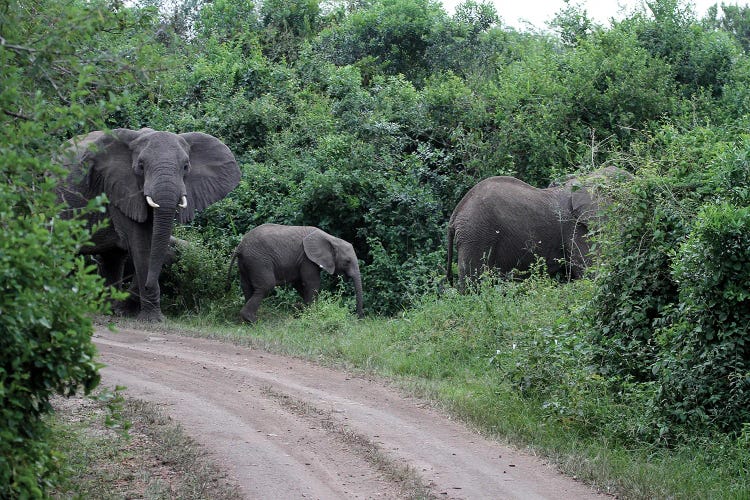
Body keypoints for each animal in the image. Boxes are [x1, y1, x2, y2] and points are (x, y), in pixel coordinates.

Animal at [58, 127, 241, 322]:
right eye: (141, 166)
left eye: (186, 167)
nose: (147, 285)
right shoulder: (118, 189)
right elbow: (142, 244)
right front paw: (152, 319)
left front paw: (130, 311)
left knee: (112, 258)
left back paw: (108, 310)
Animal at [232, 224, 368, 324]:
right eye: (347, 261)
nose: (359, 319)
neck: (331, 239)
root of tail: (240, 247)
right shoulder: (307, 259)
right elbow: (311, 283)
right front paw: (312, 314)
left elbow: (299, 284)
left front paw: (305, 310)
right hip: (258, 260)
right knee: (266, 286)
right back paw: (252, 320)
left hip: (246, 262)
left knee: (246, 286)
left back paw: (246, 321)